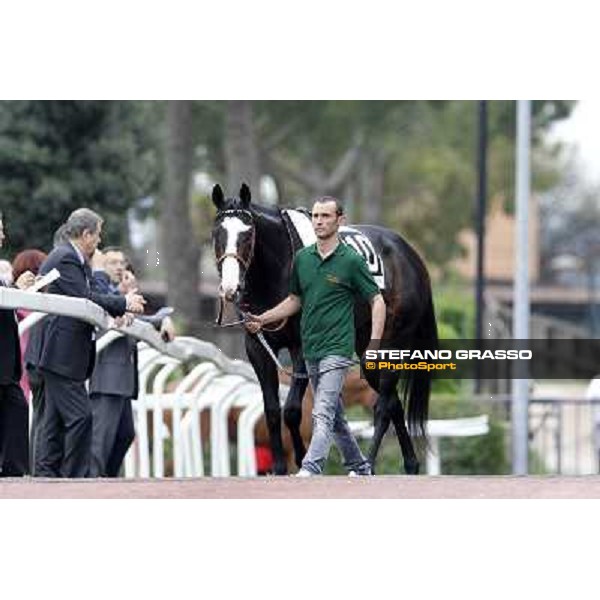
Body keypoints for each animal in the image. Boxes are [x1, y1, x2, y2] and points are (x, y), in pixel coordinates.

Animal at [211, 183, 436, 474]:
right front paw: (280, 468)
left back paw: (368, 464)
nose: (230, 288)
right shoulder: (257, 347)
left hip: (391, 342)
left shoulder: (302, 346)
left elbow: (292, 409)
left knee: (383, 406)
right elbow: (271, 410)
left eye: (248, 235)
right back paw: (410, 464)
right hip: (366, 345)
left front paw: (300, 458)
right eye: (217, 234)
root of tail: (411, 256)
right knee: (394, 404)